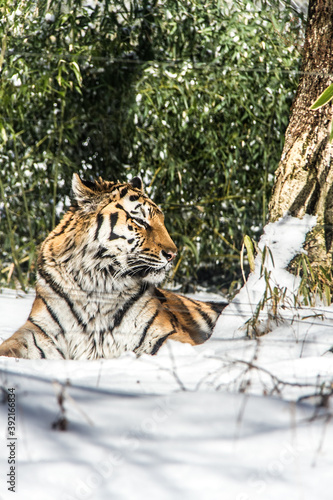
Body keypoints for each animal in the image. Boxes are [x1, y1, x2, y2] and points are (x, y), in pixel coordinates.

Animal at [0, 174, 226, 358]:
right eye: (140, 221)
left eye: (161, 220)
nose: (173, 254)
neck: (98, 283)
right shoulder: (40, 331)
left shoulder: (164, 334)